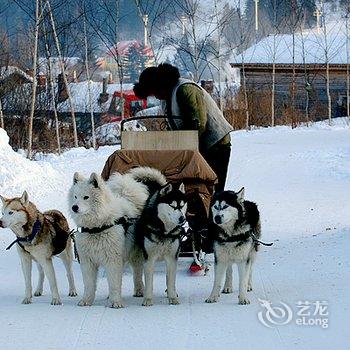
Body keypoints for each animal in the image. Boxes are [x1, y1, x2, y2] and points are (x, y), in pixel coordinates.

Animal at [69, 168, 167, 308]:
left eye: (86, 197)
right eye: (75, 197)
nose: (74, 207)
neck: (97, 228)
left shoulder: (113, 260)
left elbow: (115, 282)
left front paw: (116, 302)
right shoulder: (88, 261)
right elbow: (89, 284)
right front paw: (86, 301)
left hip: (136, 254)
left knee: (137, 272)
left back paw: (139, 291)